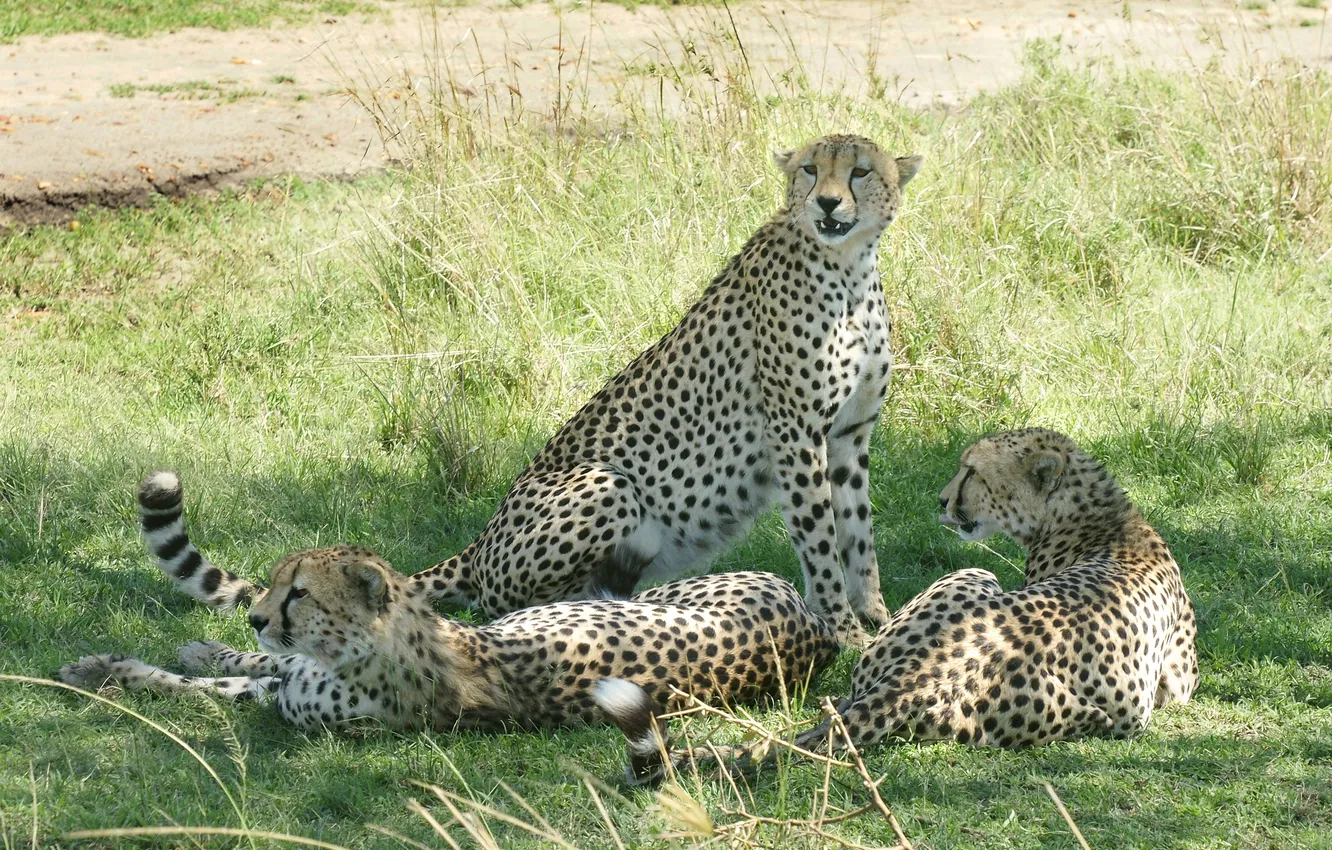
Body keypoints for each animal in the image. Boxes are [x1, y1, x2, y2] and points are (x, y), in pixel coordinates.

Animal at [61, 507, 838, 733]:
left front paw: (117, 675)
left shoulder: (291, 701)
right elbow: (240, 667)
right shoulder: (288, 674)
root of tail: (819, 627)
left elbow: (211, 688)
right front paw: (125, 662)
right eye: (278, 584)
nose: (255, 617)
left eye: (299, 593)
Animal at [138, 135, 924, 645]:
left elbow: (857, 531)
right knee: (496, 601)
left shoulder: (849, 436)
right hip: (606, 483)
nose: (827, 205)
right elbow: (820, 537)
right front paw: (844, 627)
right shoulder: (797, 436)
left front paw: (876, 615)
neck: (848, 267)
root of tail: (481, 539)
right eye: (809, 171)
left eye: (860, 171)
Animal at [596, 428, 1200, 784]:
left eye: (973, 472)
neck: (1098, 514)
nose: (942, 500)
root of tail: (922, 675)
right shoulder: (1178, 684)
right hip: (978, 587)